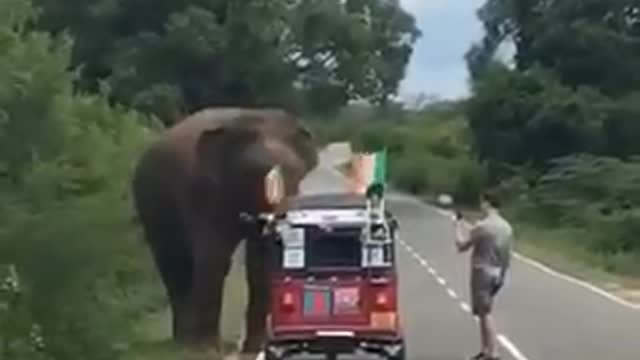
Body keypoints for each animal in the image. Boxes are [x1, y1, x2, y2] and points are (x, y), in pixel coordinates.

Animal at [131, 107, 318, 352]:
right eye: (252, 173)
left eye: (297, 174)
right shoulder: (203, 189)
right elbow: (215, 256)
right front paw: (209, 350)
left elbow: (260, 261)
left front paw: (253, 350)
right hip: (150, 203)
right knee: (173, 261)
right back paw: (183, 343)